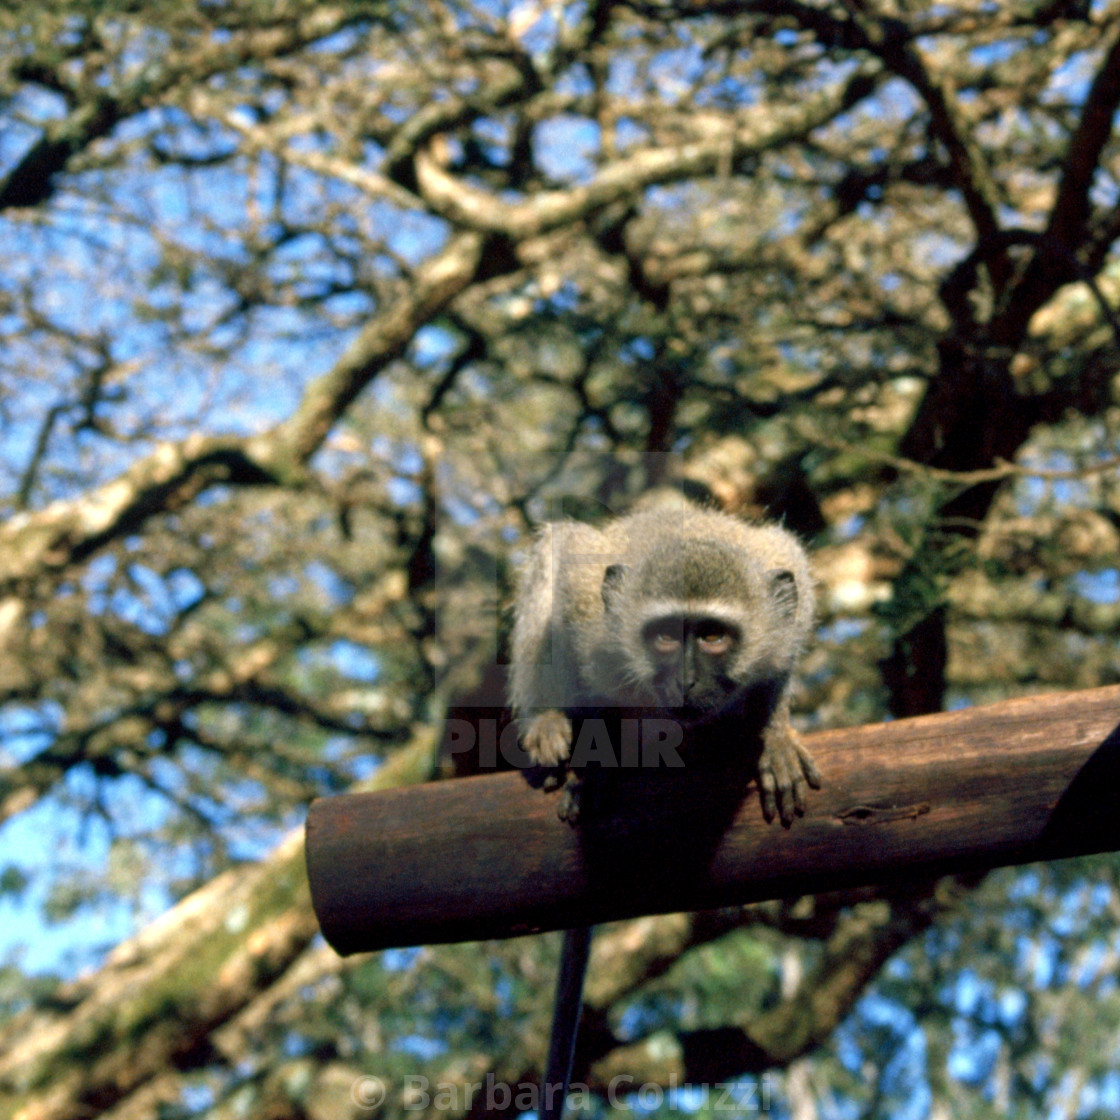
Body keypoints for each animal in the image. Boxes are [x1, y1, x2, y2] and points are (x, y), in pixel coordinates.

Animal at [510, 497, 824, 1120]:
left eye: (711, 636)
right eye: (664, 637)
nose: (684, 680)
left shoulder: (788, 606)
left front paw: (774, 734)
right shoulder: (589, 613)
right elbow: (563, 579)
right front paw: (588, 754)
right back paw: (553, 725)